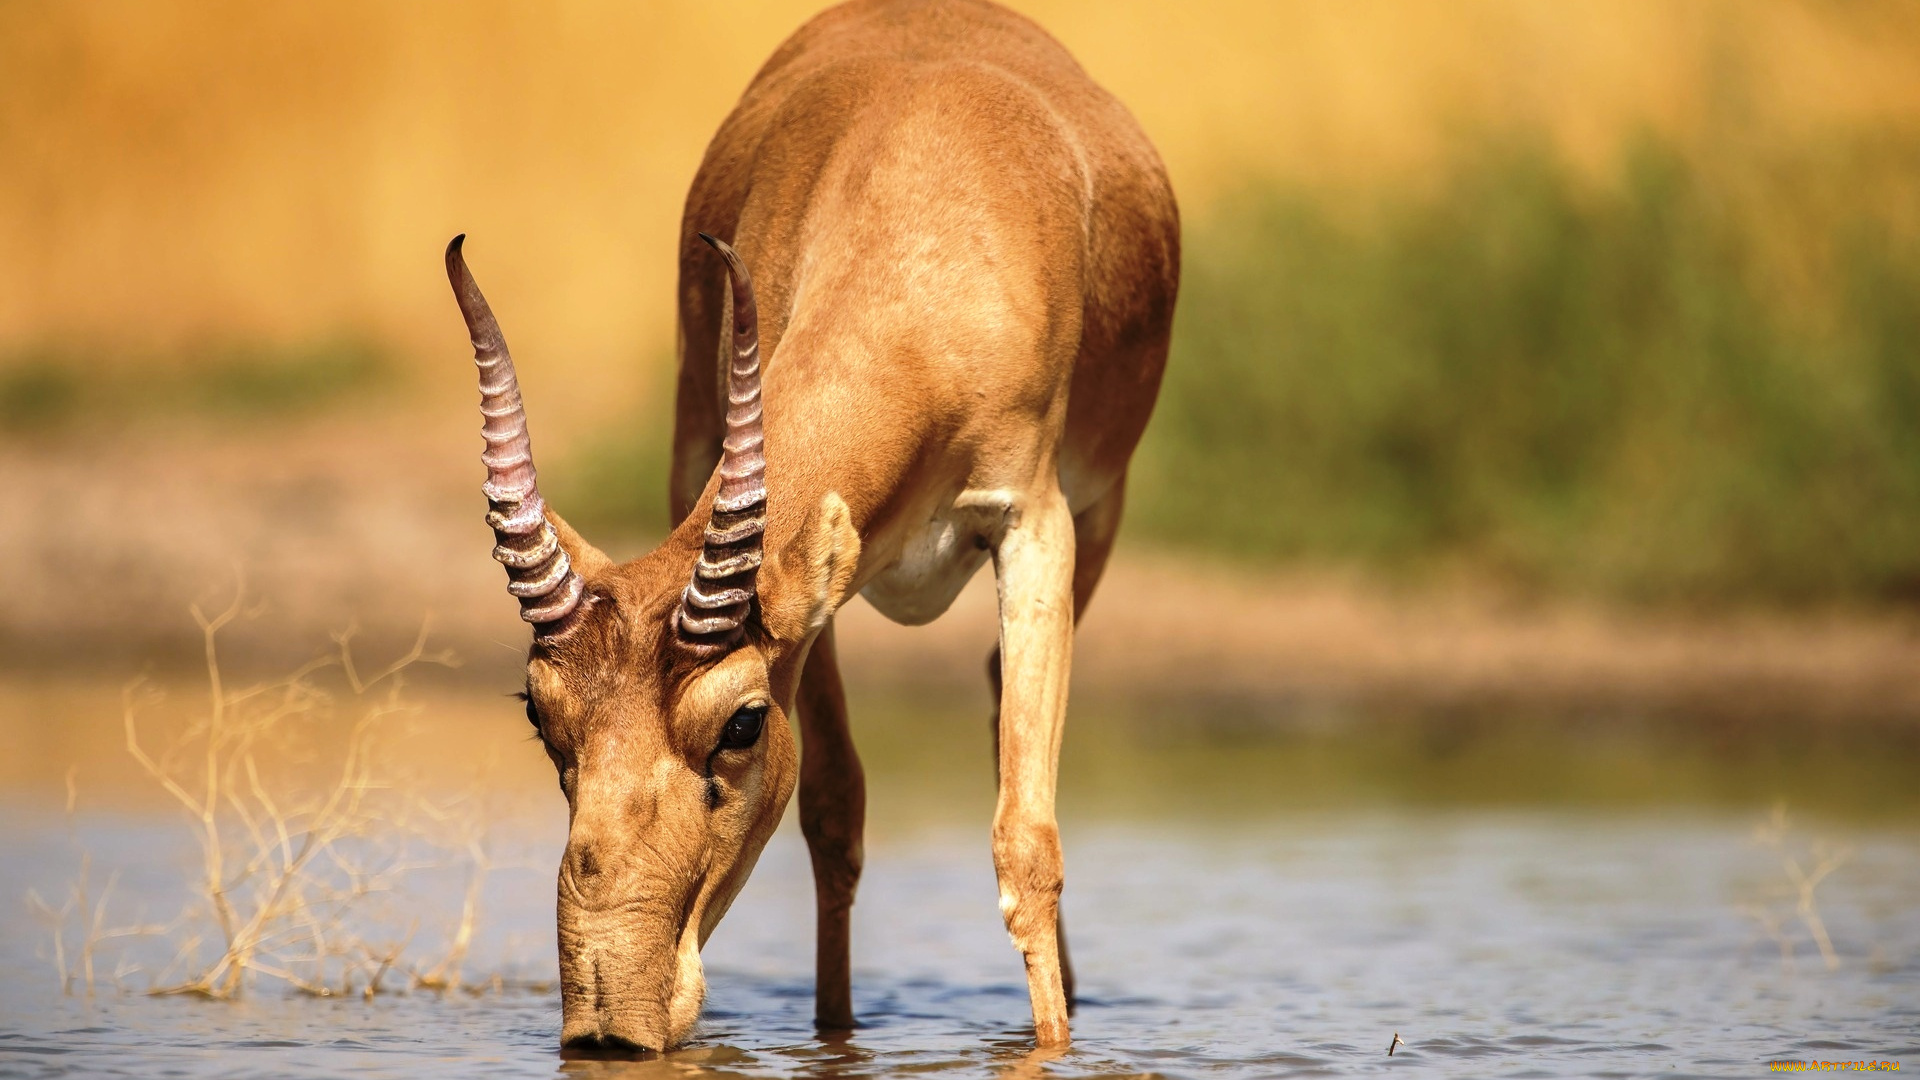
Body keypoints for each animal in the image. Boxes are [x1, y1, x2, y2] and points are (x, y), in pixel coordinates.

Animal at [441, 0, 1175, 1045]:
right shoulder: (812, 586)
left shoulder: (1035, 529)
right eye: (542, 716)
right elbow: (834, 813)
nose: (609, 1024)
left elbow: (1025, 847)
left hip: (1098, 525)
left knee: (1005, 707)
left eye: (742, 722)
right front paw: (836, 1036)